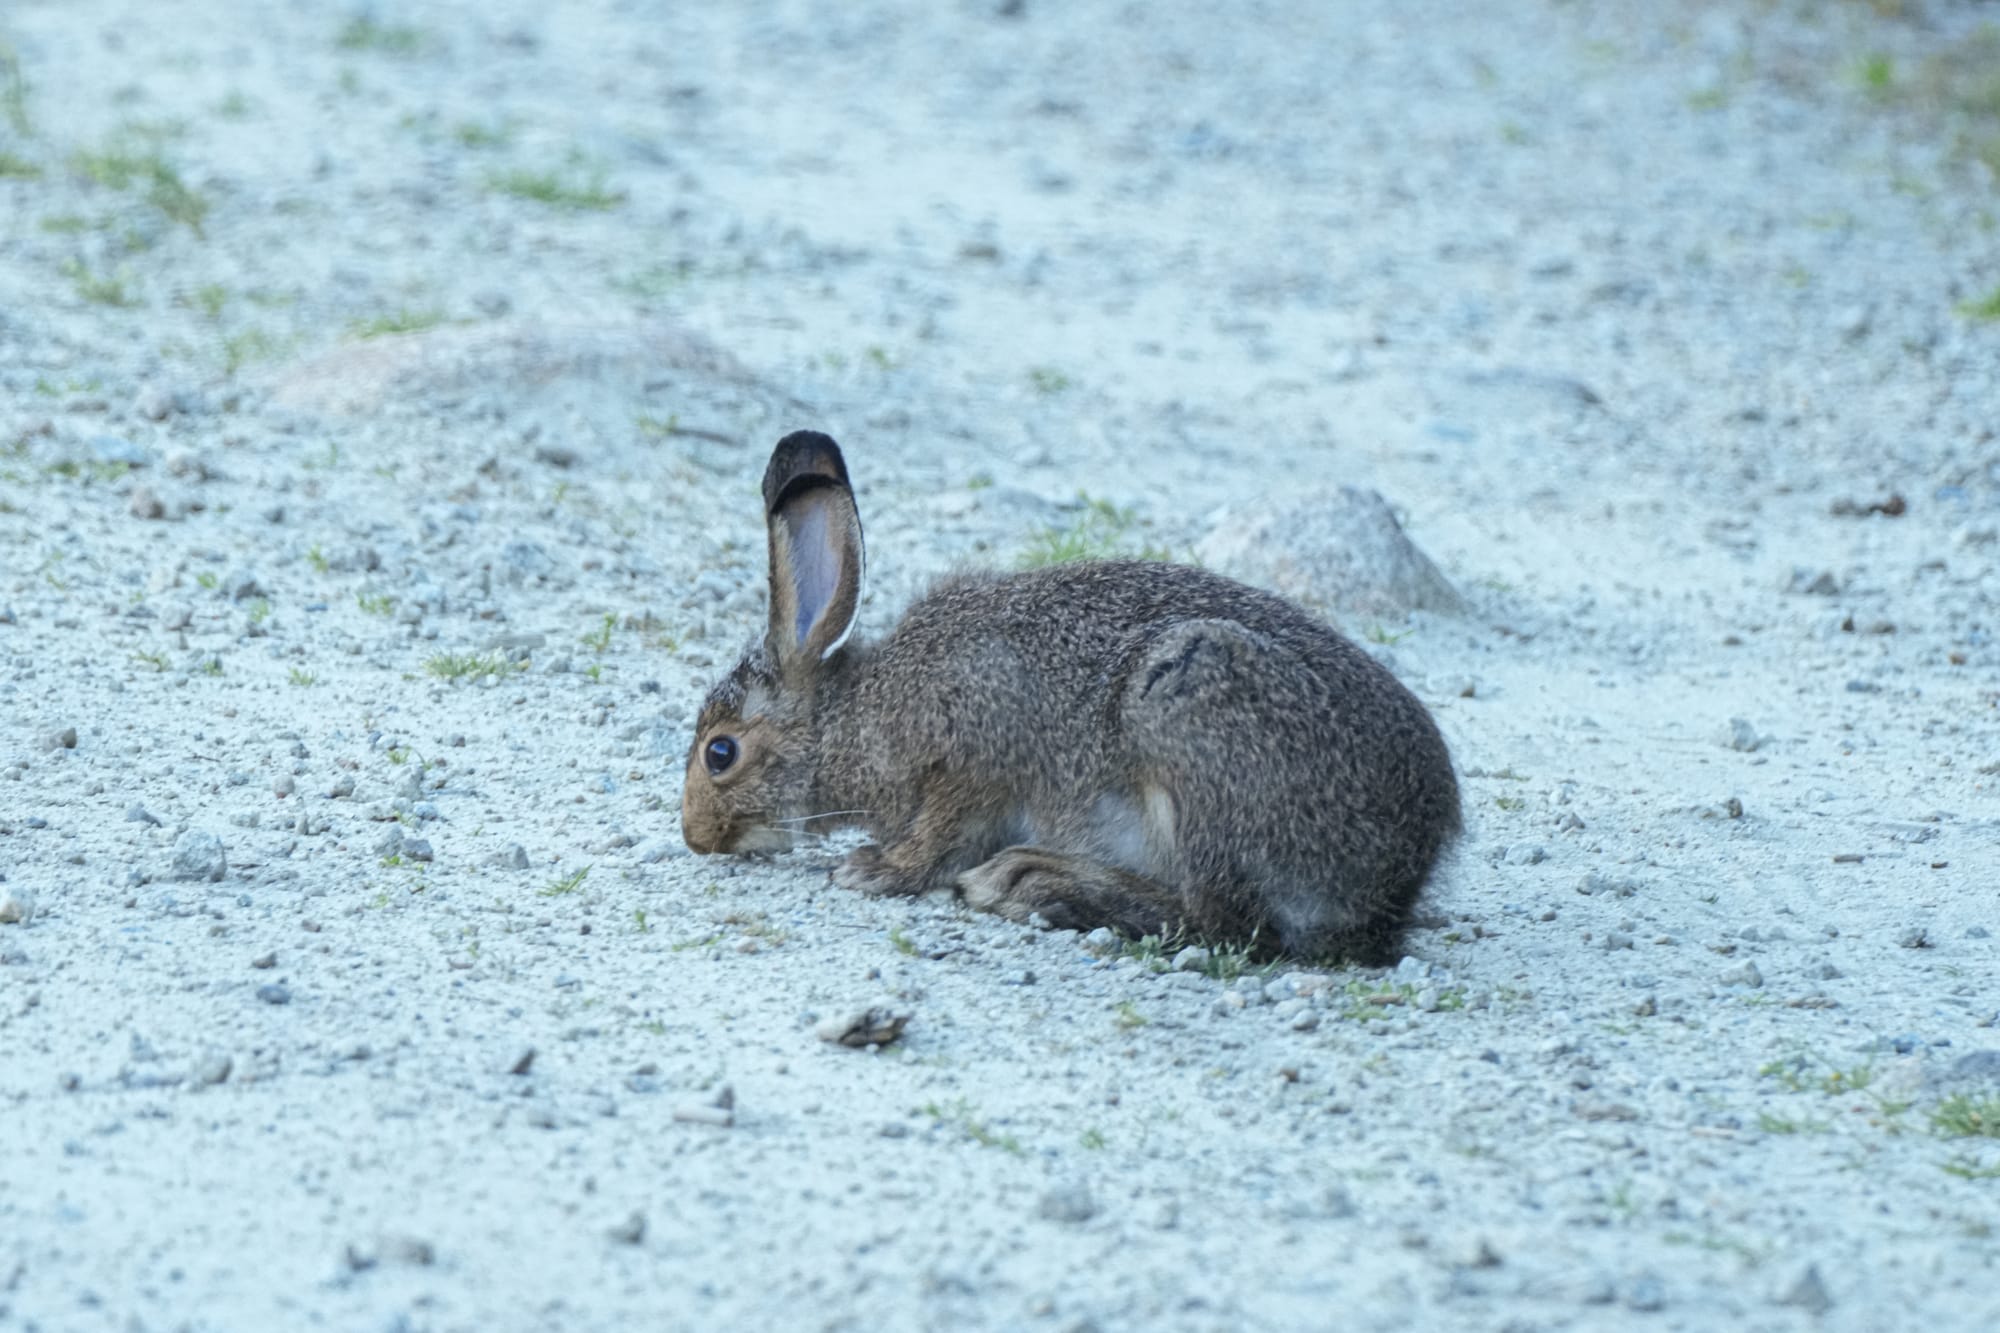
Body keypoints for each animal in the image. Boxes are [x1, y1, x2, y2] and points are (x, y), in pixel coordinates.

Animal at [681, 430, 1461, 964]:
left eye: (720, 752)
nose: (695, 835)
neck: (853, 716)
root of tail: (1405, 866)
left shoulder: (978, 752)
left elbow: (939, 836)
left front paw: (874, 869)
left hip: (1185, 706)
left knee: (1232, 923)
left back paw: (1031, 882)